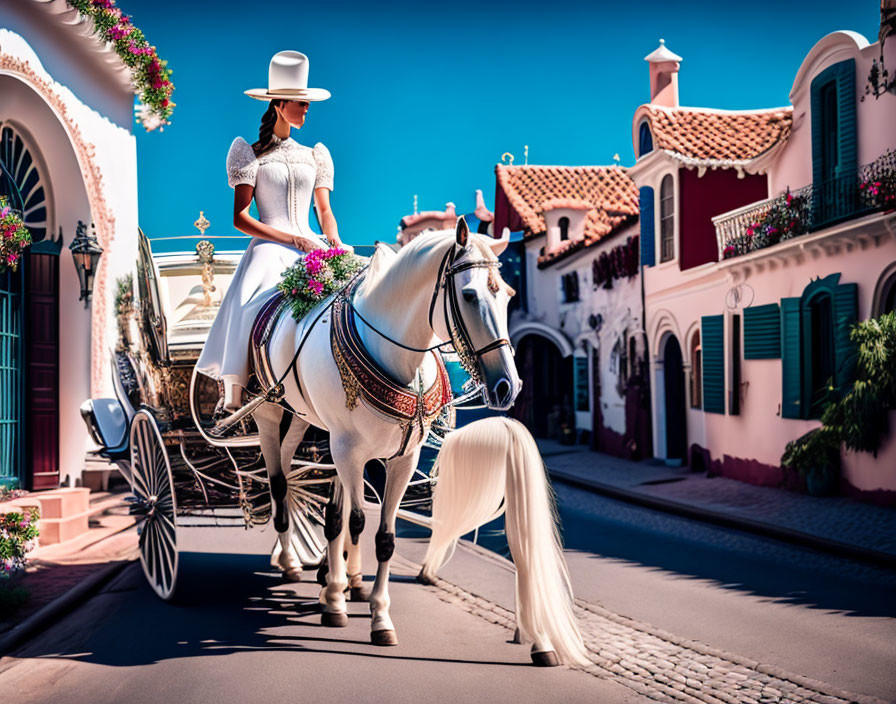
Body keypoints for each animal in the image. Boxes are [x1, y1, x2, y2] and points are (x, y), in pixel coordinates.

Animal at [252, 220, 588, 664]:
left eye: (508, 294)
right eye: (469, 294)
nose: (508, 386)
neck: (397, 356)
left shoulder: (402, 458)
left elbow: (382, 536)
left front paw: (375, 614)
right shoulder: (348, 451)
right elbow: (356, 521)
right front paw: (341, 603)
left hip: (317, 429)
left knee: (329, 508)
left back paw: (337, 578)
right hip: (275, 415)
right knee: (282, 486)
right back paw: (297, 564)